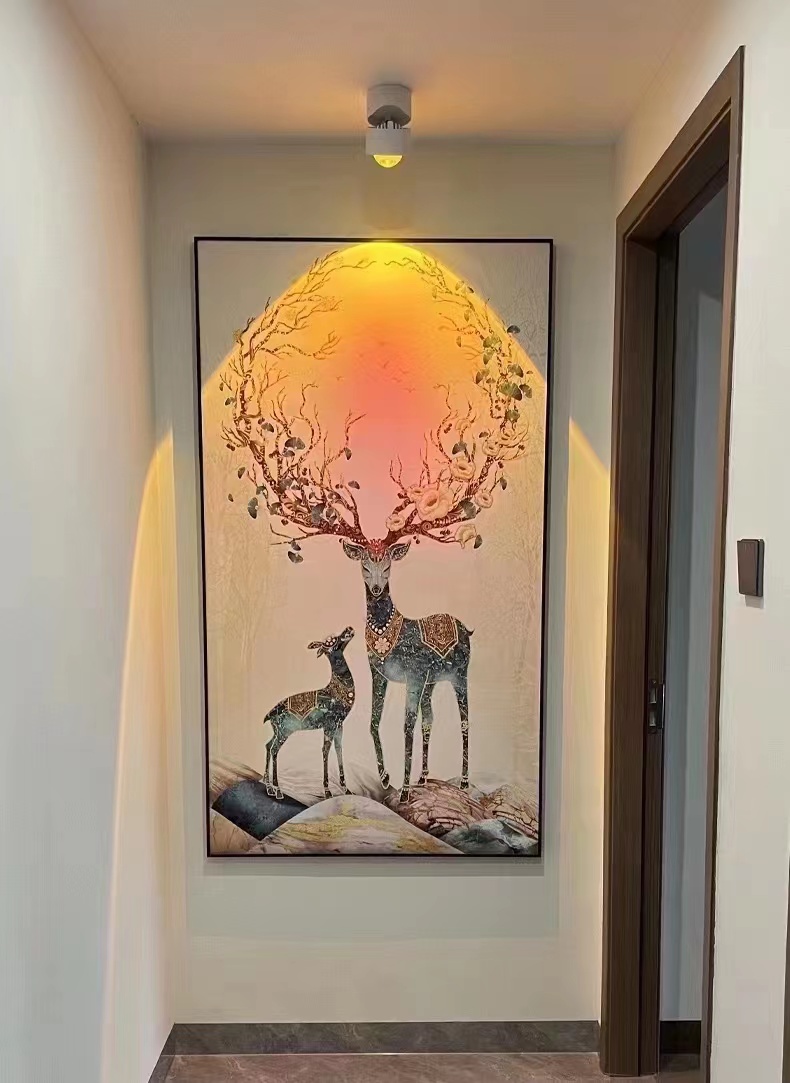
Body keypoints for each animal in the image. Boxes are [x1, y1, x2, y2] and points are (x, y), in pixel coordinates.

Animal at [263, 626, 356, 801]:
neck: (336, 692)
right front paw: (327, 792)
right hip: (285, 731)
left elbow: (339, 749)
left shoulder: (339, 725)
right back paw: (278, 791)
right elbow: (325, 750)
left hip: (277, 731)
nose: (349, 628)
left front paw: (347, 790)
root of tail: (268, 715)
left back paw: (268, 786)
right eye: (331, 641)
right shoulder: (329, 724)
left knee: (267, 745)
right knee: (274, 749)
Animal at [341, 537, 472, 801]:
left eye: (388, 566)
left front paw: (404, 792)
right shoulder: (379, 675)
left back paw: (464, 781)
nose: (377, 589)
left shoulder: (413, 677)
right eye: (364, 565)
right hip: (432, 682)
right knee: (429, 719)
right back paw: (422, 777)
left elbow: (406, 728)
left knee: (465, 721)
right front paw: (385, 777)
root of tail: (467, 628)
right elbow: (374, 721)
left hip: (460, 675)